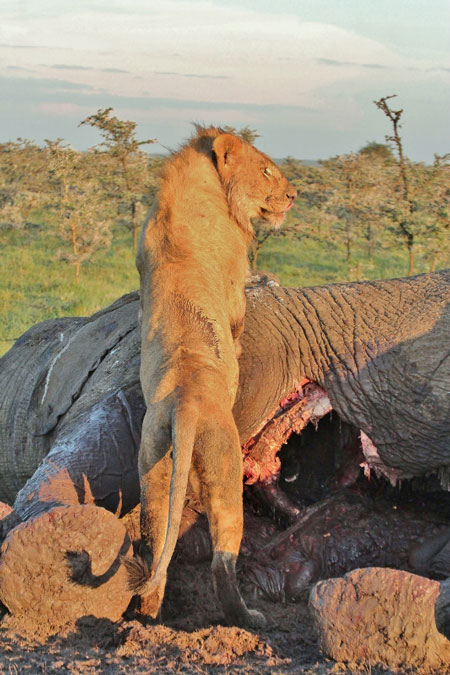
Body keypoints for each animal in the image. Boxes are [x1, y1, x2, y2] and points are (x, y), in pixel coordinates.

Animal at [125, 127, 298, 628]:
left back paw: (147, 619)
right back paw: (250, 618)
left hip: (154, 461)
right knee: (224, 558)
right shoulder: (237, 276)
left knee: (156, 547)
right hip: (225, 466)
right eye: (266, 169)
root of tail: (186, 403)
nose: (294, 195)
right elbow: (241, 314)